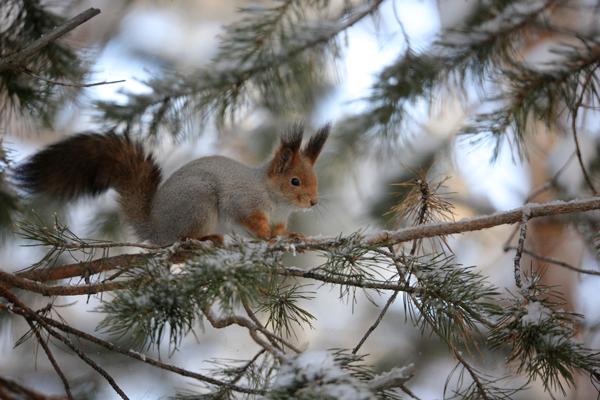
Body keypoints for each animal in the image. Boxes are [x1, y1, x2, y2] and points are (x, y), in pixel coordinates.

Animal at [16, 123, 328, 245]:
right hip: (199, 205)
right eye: (295, 181)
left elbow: (282, 230)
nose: (314, 202)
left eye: (315, 180)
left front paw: (291, 236)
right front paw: (265, 236)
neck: (276, 201)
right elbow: (248, 220)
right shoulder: (243, 201)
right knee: (184, 237)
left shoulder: (280, 217)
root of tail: (158, 228)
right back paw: (207, 238)